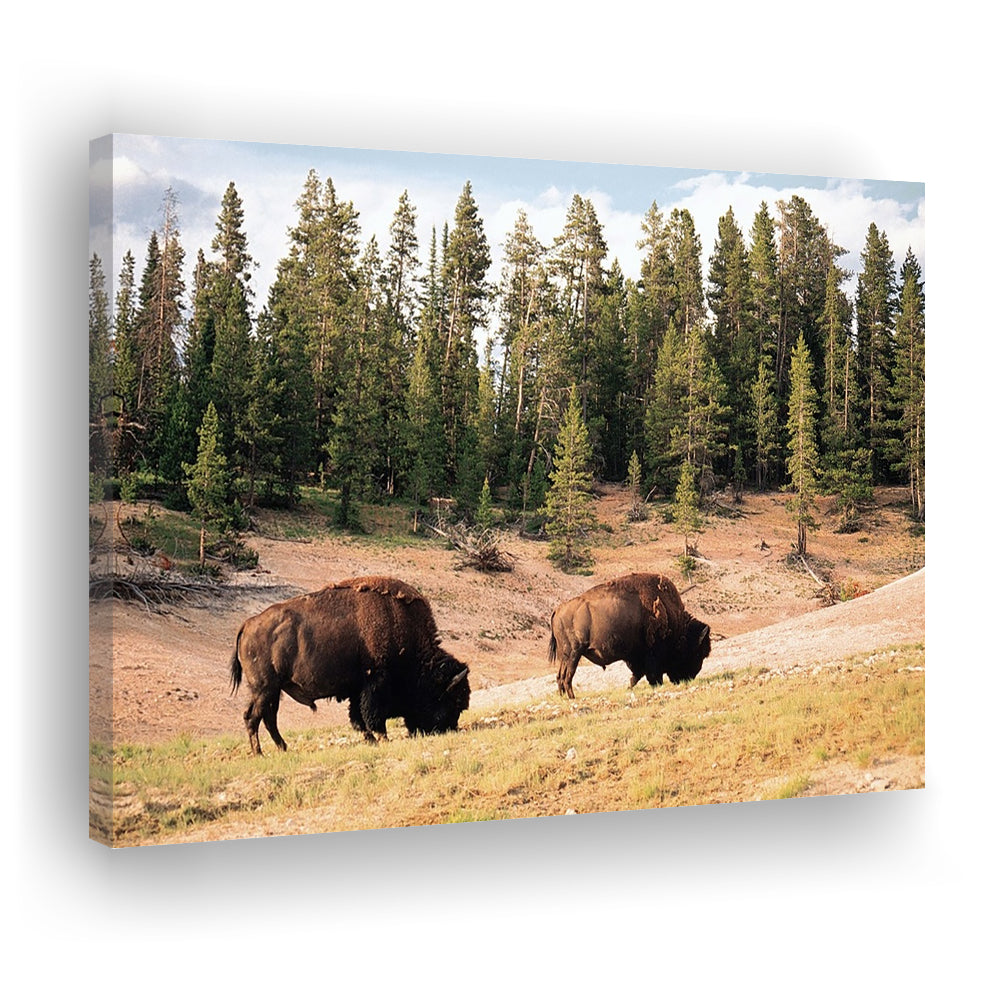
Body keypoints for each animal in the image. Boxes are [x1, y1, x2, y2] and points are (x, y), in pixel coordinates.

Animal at [229, 576, 470, 753]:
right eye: (452, 701)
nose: (449, 730)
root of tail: (248, 623)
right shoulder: (375, 683)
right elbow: (372, 715)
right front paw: (382, 739)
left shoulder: (358, 689)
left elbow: (358, 717)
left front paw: (370, 739)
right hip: (265, 689)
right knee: (253, 717)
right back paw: (260, 753)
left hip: (271, 691)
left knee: (267, 718)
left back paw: (283, 748)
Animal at [548, 572, 711, 699]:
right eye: (698, 653)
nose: (689, 678)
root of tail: (558, 609)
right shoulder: (651, 655)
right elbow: (649, 675)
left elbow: (637, 675)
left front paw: (629, 687)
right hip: (574, 653)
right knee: (568, 675)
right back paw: (572, 697)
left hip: (566, 655)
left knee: (560, 676)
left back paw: (563, 696)